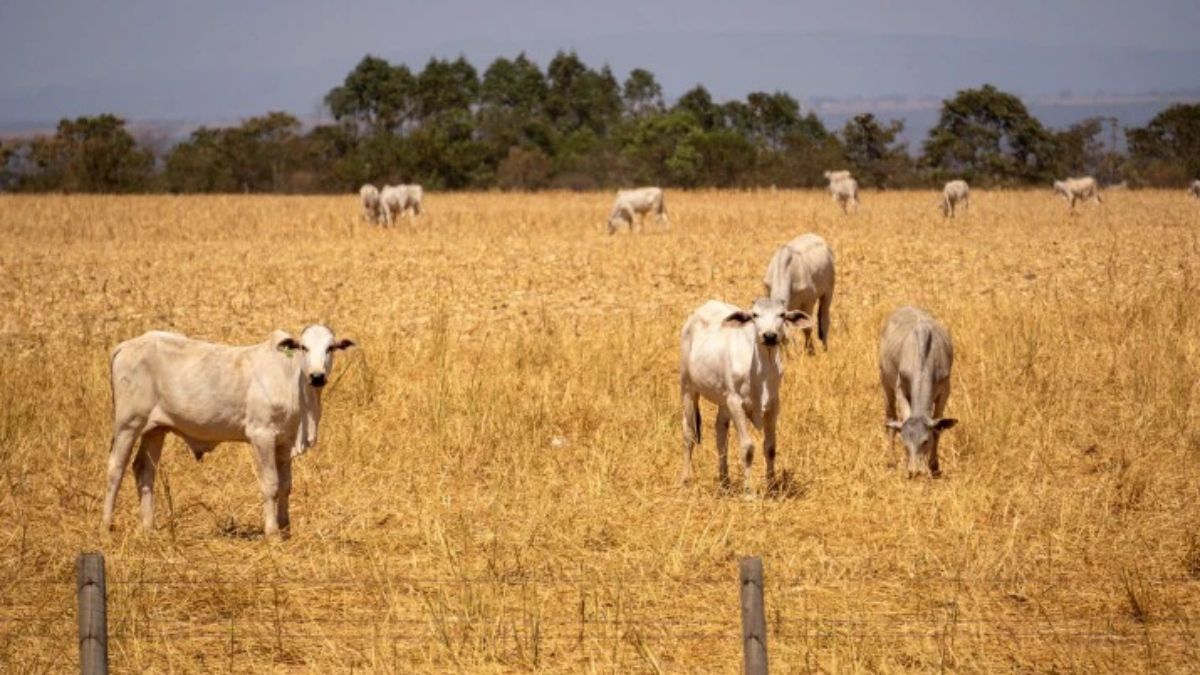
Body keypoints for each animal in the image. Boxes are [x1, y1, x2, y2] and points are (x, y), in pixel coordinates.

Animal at [101, 325, 355, 536]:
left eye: (331, 347)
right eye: (304, 347)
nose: (317, 377)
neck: (290, 380)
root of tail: (125, 346)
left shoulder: (285, 441)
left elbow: (286, 485)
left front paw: (285, 527)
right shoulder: (261, 435)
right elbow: (271, 484)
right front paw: (272, 532)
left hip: (155, 429)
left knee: (144, 469)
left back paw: (148, 527)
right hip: (127, 424)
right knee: (115, 469)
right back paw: (106, 526)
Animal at [679, 298, 812, 494]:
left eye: (782, 314)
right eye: (755, 315)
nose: (769, 336)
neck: (760, 372)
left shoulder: (773, 405)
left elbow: (770, 447)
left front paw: (772, 487)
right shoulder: (736, 403)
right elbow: (748, 448)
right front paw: (749, 492)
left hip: (723, 400)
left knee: (720, 434)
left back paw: (724, 481)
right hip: (688, 388)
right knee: (689, 432)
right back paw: (686, 479)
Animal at [878, 306, 957, 478]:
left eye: (925, 441)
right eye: (905, 442)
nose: (914, 471)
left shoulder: (945, 389)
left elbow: (938, 428)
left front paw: (934, 467)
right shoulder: (900, 387)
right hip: (885, 383)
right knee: (890, 418)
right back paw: (891, 460)